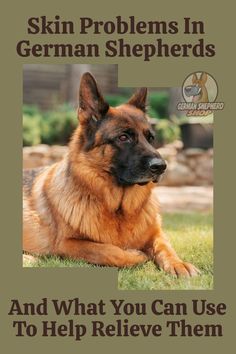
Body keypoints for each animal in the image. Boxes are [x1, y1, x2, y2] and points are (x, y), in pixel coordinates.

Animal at [23, 72, 199, 276]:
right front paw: (137, 255)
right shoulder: (66, 244)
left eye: (151, 138)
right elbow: (109, 251)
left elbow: (165, 247)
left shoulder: (157, 234)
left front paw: (179, 264)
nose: (161, 166)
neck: (119, 209)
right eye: (123, 137)